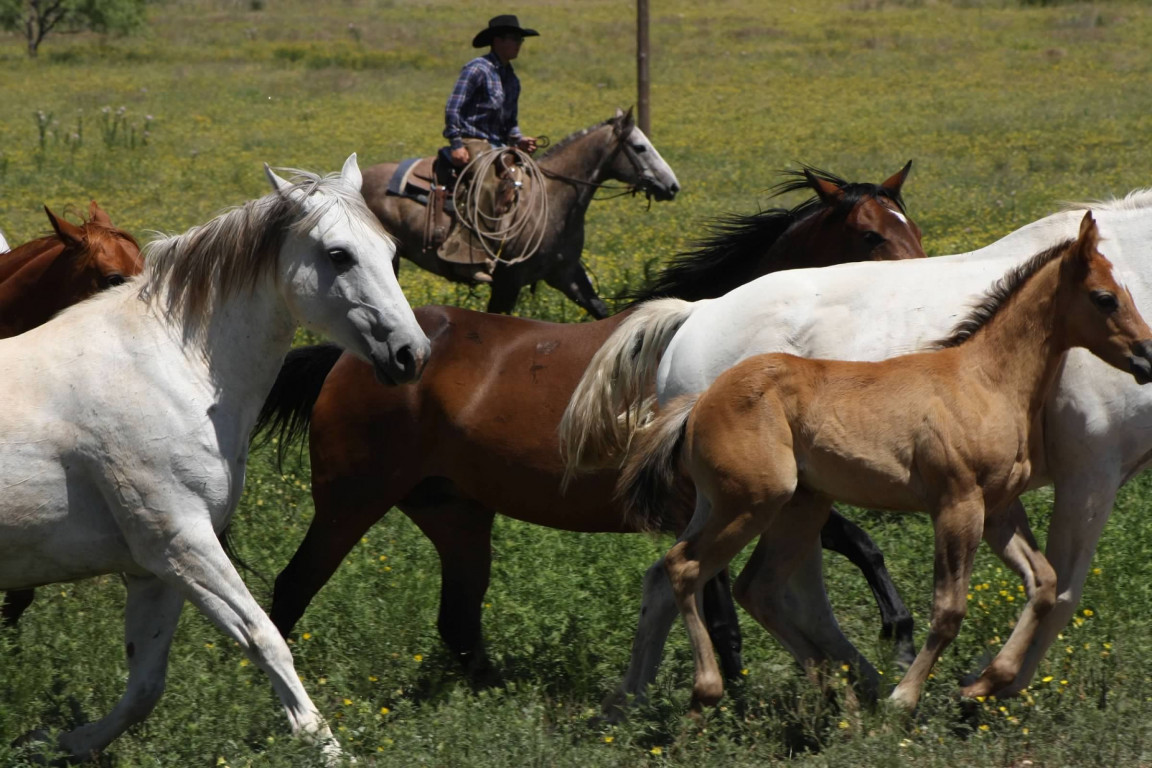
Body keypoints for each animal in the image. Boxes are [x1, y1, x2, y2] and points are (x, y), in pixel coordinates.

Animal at [0, 155, 428, 765]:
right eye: (338, 254)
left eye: (392, 253)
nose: (412, 354)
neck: (167, 368)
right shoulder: (183, 545)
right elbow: (265, 637)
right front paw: (325, 746)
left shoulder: (152, 571)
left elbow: (144, 686)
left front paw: (62, 741)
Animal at [252, 164, 927, 681]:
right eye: (870, 235)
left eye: (912, 226)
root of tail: (354, 357)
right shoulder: (707, 507)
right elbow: (722, 616)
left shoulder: (765, 495)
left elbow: (861, 545)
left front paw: (901, 639)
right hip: (350, 502)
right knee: (291, 589)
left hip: (455, 514)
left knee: (458, 621)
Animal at [360, 108, 680, 318]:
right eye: (640, 147)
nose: (672, 185)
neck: (552, 199)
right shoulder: (508, 281)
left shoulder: (567, 274)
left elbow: (601, 310)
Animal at [560, 187, 1152, 704]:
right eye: (1105, 298)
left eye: (1125, 293)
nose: (1148, 356)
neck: (983, 377)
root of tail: (695, 317)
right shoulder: (1025, 487)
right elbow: (979, 604)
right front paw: (936, 693)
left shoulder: (1001, 505)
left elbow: (1044, 584)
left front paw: (983, 682)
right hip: (755, 501)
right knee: (705, 575)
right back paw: (732, 689)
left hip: (781, 504)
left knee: (731, 585)